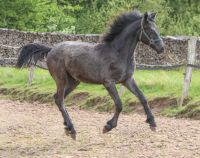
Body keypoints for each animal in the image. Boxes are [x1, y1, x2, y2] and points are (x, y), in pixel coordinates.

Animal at [16, 10, 164, 139]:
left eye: (156, 28)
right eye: (150, 30)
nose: (162, 48)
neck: (118, 53)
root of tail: (51, 49)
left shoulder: (127, 80)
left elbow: (143, 98)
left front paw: (152, 123)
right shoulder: (109, 82)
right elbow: (119, 104)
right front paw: (108, 126)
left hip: (74, 81)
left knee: (58, 98)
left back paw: (67, 127)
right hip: (61, 79)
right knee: (60, 100)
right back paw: (72, 130)